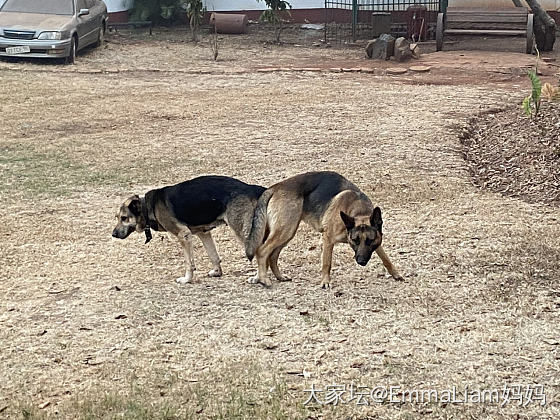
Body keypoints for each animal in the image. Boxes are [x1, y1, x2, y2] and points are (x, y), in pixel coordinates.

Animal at [112, 176, 266, 284]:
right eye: (117, 217)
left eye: (124, 218)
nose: (113, 234)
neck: (149, 207)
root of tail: (251, 188)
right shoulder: (203, 233)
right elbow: (213, 255)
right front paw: (217, 272)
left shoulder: (183, 235)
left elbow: (189, 263)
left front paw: (187, 279)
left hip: (242, 231)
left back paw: (257, 277)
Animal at [245, 171, 402, 288]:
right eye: (355, 240)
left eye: (369, 241)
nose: (361, 261)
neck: (357, 210)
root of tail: (275, 187)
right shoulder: (327, 240)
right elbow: (327, 263)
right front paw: (325, 282)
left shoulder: (377, 241)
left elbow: (386, 258)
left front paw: (396, 274)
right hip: (285, 230)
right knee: (262, 251)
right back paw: (263, 279)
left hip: (288, 232)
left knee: (272, 255)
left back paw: (277, 277)